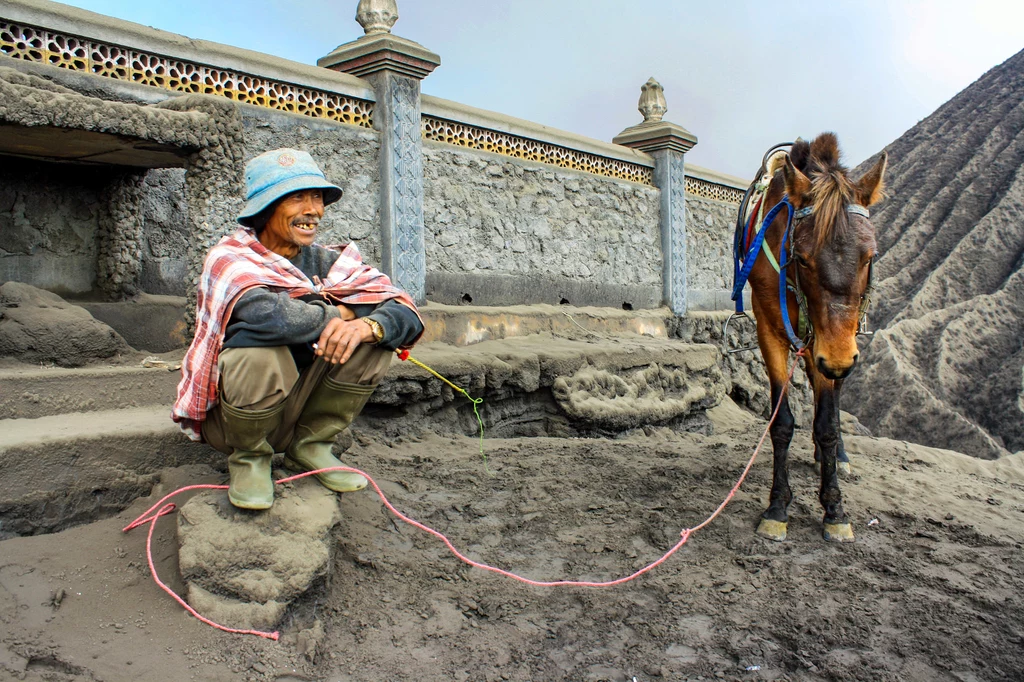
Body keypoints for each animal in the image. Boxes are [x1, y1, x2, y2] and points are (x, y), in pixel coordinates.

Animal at [741, 133, 884, 540]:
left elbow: (826, 424)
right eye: (802, 258)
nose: (837, 359)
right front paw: (777, 506)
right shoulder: (769, 329)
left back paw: (837, 457)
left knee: (834, 401)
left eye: (869, 256)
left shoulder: (834, 344)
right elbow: (782, 422)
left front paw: (834, 509)